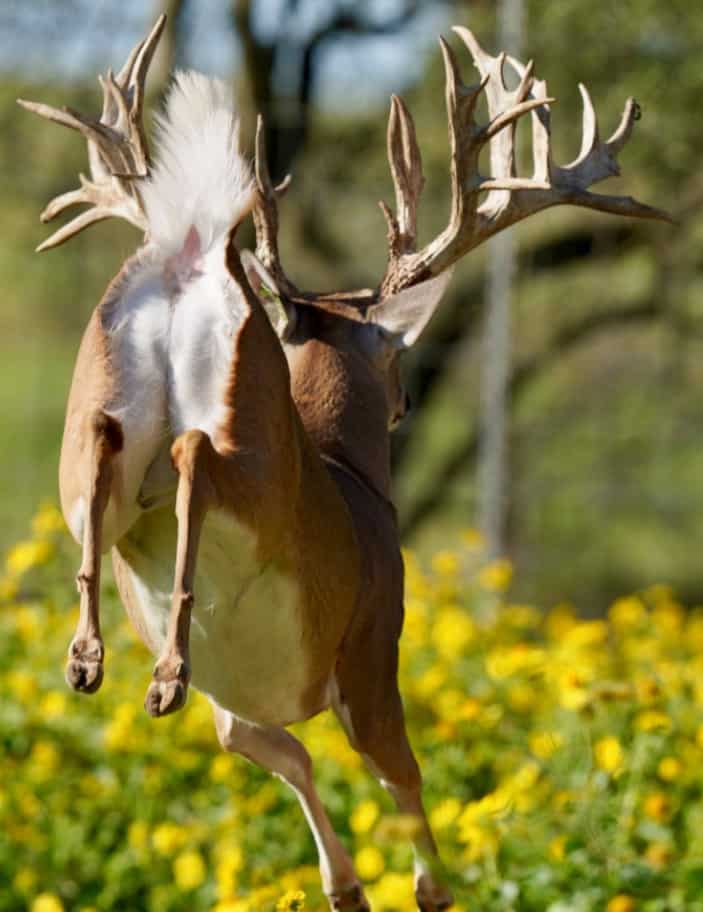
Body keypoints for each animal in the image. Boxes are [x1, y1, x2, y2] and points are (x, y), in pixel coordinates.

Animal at [20, 15, 669, 911]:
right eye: (396, 360)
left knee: (107, 446)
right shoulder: (370, 653)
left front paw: (347, 887)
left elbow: (287, 754)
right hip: (255, 466)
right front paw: (419, 886)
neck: (353, 475)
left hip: (91, 415)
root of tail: (192, 251)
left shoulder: (240, 711)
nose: (403, 403)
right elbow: (406, 789)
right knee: (195, 455)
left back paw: (93, 656)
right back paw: (163, 667)